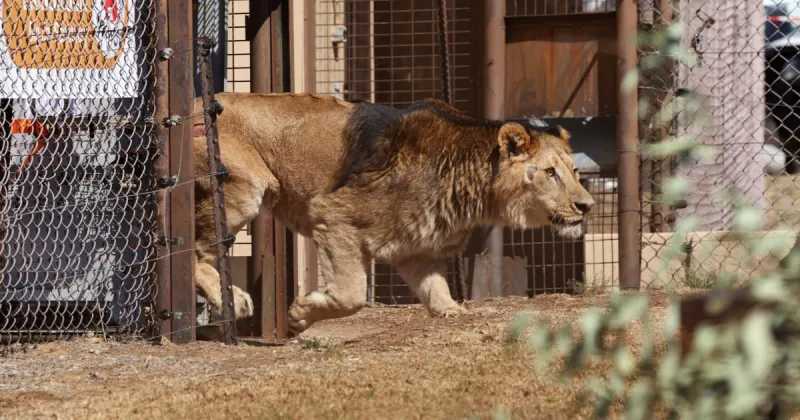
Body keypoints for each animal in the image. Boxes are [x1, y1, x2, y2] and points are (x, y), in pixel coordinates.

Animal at [192, 92, 595, 335]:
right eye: (550, 173)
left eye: (575, 172)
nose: (586, 206)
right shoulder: (333, 215)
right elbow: (351, 295)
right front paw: (300, 314)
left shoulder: (415, 247)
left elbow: (436, 288)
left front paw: (453, 312)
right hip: (243, 188)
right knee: (197, 252)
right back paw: (234, 300)